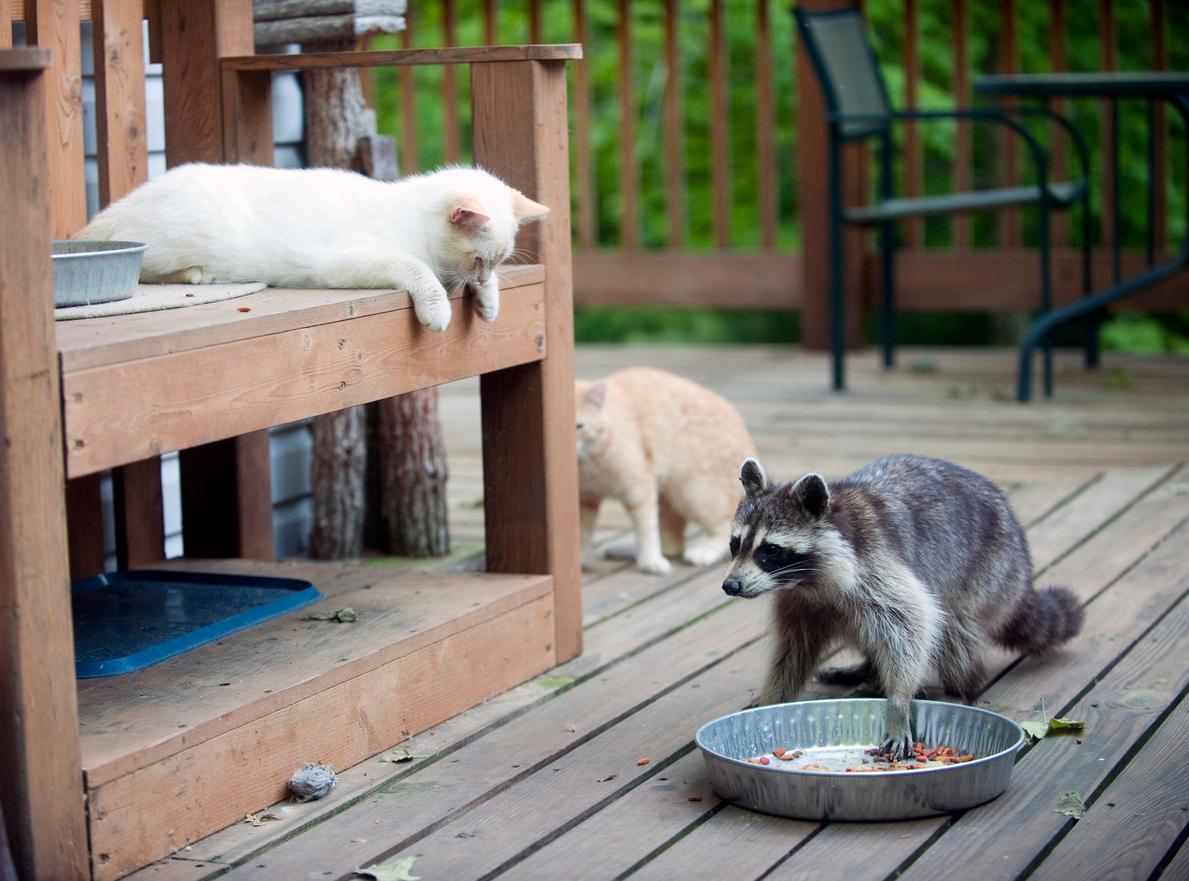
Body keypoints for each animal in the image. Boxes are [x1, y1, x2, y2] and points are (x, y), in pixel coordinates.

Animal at [76, 162, 549, 330]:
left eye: (496, 261)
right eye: (478, 258)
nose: (483, 275)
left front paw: (489, 299)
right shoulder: (345, 262)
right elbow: (418, 271)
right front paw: (439, 310)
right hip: (177, 240)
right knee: (146, 267)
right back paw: (196, 275)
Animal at [573, 368, 751, 573]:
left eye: (579, 426)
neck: (588, 463)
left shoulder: (639, 490)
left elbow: (646, 529)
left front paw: (651, 562)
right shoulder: (586, 499)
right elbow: (582, 533)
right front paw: (580, 560)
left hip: (694, 494)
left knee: (723, 526)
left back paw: (703, 553)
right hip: (668, 498)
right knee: (673, 543)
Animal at [718, 454, 1084, 756]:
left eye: (769, 550)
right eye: (735, 544)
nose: (730, 585)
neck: (808, 581)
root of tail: (1023, 568)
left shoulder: (875, 566)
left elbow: (912, 623)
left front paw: (898, 703)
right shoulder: (799, 602)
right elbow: (793, 652)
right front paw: (773, 698)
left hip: (989, 572)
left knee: (952, 629)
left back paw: (960, 686)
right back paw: (867, 668)